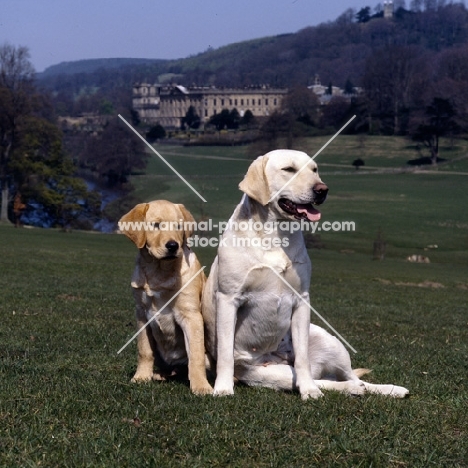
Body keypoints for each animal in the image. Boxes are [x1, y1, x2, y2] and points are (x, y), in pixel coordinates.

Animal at [119, 200, 212, 394]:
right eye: (155, 225)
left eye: (178, 226)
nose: (173, 246)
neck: (159, 271)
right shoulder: (141, 314)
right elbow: (144, 350)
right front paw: (141, 376)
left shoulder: (191, 316)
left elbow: (196, 356)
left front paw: (201, 386)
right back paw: (160, 374)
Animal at [203, 150, 408, 398]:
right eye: (289, 169)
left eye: (314, 169)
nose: (322, 189)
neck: (275, 234)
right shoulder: (228, 299)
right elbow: (225, 353)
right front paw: (223, 388)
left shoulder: (301, 299)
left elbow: (302, 359)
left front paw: (309, 391)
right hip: (270, 373)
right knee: (328, 381)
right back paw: (351, 388)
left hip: (329, 342)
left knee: (340, 376)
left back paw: (389, 389)